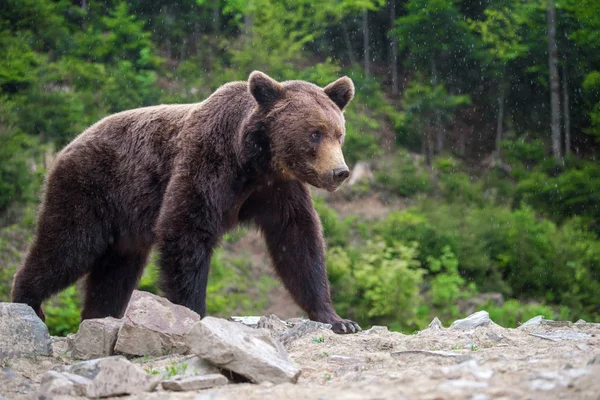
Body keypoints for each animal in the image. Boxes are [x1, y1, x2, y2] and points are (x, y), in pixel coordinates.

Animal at [11, 71, 360, 334]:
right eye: (314, 133)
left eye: (338, 133)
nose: (339, 172)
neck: (253, 161)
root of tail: (67, 146)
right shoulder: (209, 163)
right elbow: (186, 230)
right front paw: (193, 314)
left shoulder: (277, 190)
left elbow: (298, 242)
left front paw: (339, 319)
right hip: (89, 189)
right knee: (66, 247)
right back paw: (28, 303)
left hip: (126, 228)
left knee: (115, 273)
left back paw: (100, 317)